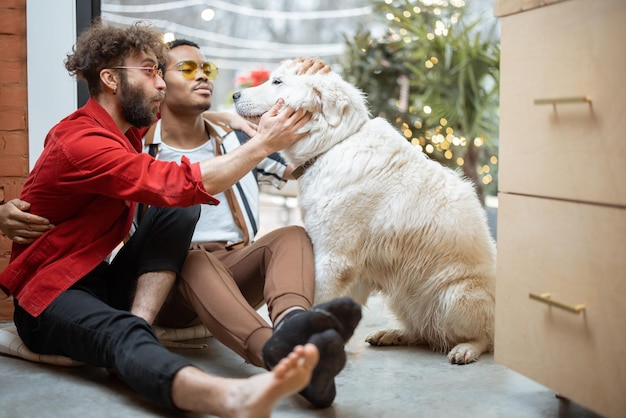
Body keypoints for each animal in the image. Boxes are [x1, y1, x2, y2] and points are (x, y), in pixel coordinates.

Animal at [232, 58, 494, 362]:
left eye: (277, 82)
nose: (234, 95)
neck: (334, 143)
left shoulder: (332, 258)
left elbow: (317, 302)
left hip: (454, 296)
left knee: (481, 337)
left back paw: (466, 349)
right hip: (402, 296)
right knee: (423, 332)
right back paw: (393, 334)